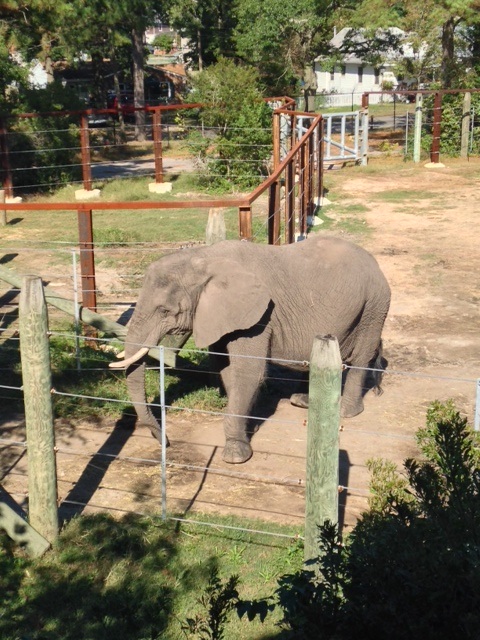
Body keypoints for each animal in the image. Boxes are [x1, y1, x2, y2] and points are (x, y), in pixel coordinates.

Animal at [109, 236, 391, 464]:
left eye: (165, 311)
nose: (164, 440)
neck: (204, 258)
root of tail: (375, 263)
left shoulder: (260, 317)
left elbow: (248, 372)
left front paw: (235, 456)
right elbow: (226, 369)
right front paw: (247, 433)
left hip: (374, 306)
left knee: (362, 356)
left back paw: (345, 411)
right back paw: (303, 401)